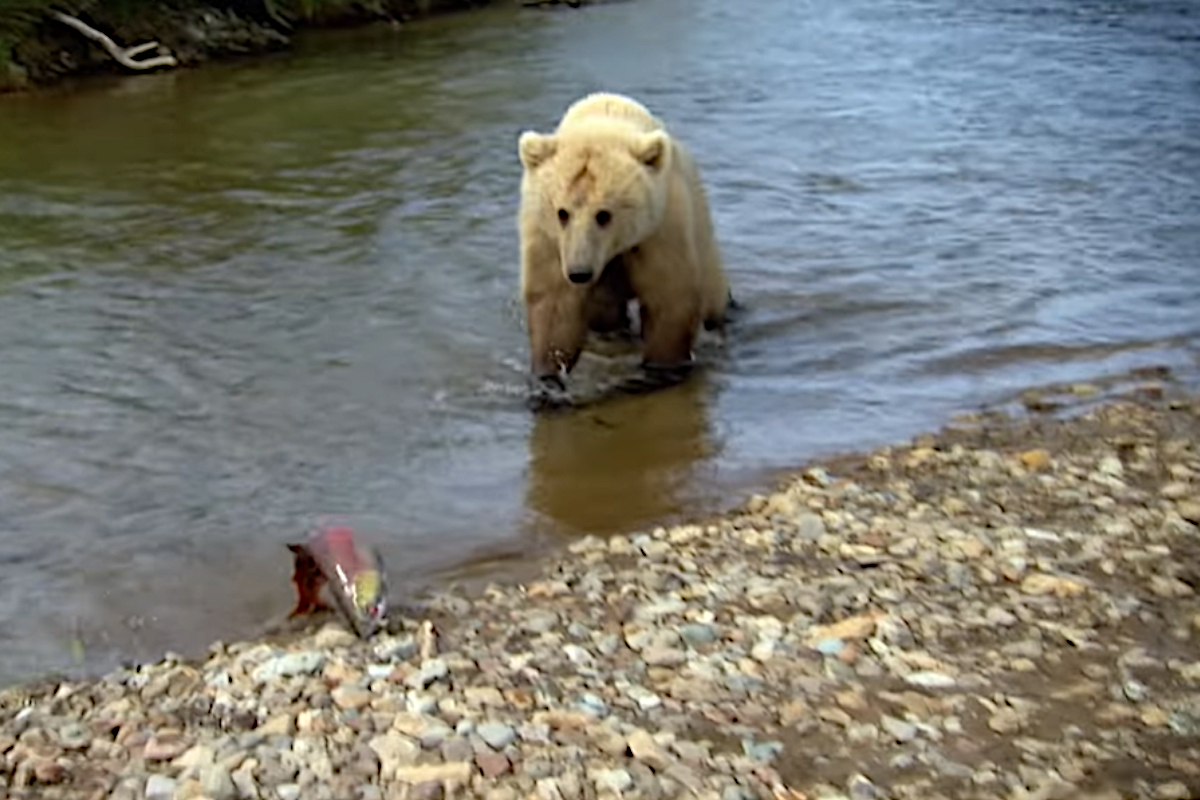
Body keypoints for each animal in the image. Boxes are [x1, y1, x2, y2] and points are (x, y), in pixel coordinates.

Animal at [516, 92, 729, 388]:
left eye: (603, 214)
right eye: (562, 212)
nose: (579, 273)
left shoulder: (660, 227)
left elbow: (669, 298)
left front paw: (661, 368)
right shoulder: (548, 239)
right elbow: (555, 305)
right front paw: (548, 376)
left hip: (702, 233)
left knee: (712, 293)